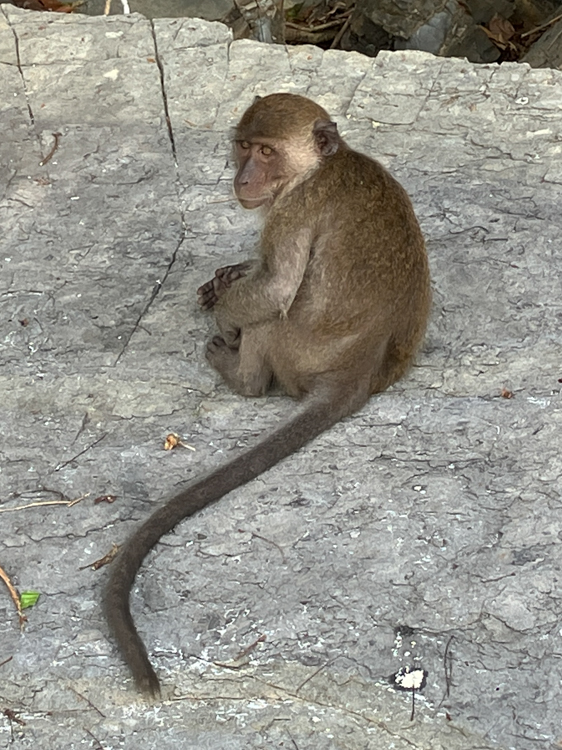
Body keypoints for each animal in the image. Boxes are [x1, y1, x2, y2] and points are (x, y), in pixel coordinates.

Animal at [104, 93, 431, 697]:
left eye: (266, 152)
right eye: (243, 146)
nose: (243, 176)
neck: (317, 168)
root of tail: (360, 370)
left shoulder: (291, 210)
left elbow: (275, 287)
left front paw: (226, 312)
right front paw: (226, 276)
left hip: (294, 348)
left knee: (271, 316)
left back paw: (240, 373)